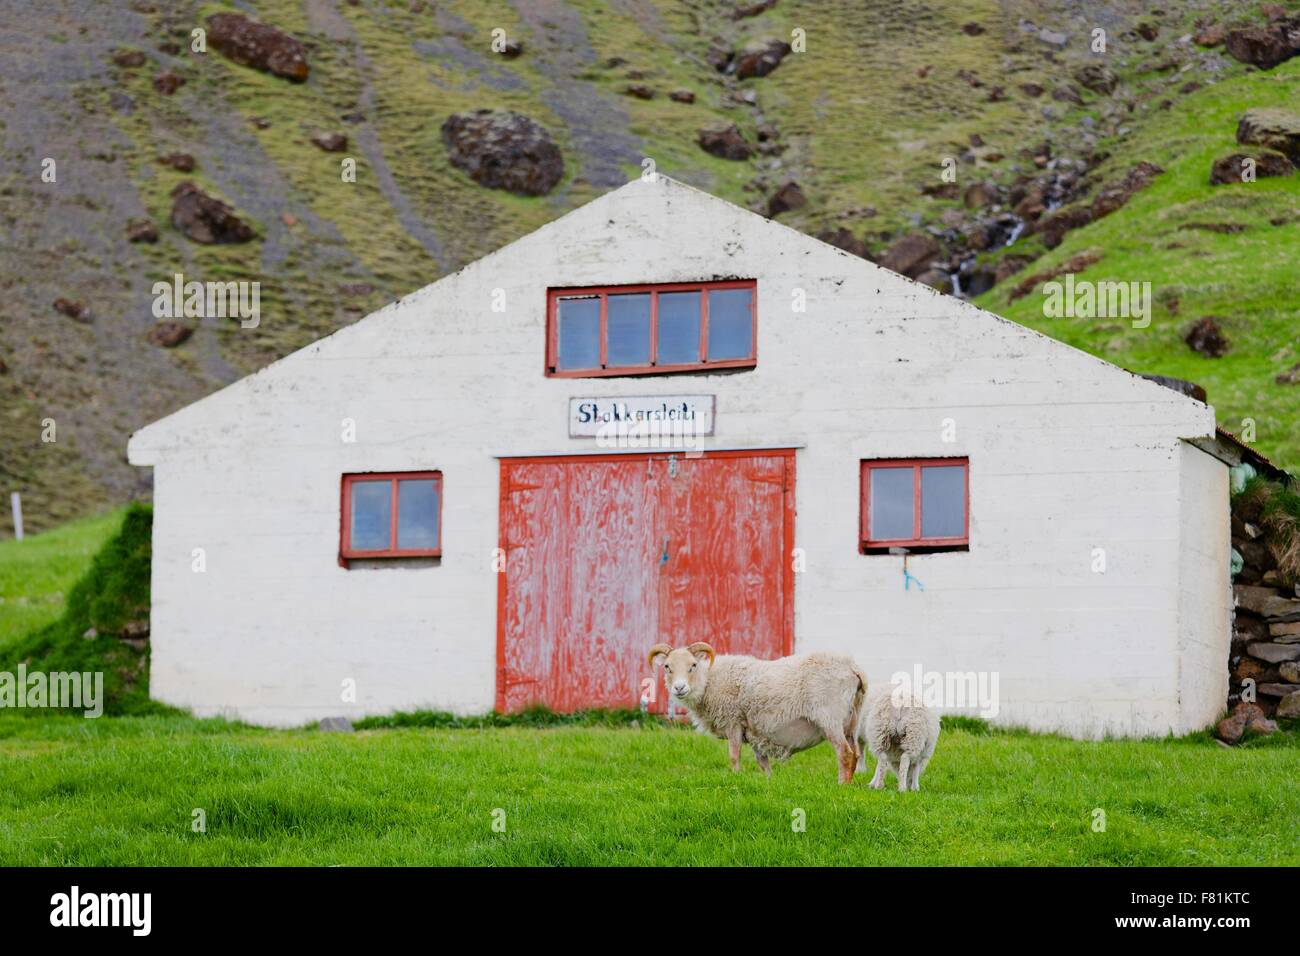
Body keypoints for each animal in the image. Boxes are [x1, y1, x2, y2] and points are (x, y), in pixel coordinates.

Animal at [647, 642, 868, 785]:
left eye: (692, 665)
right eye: (667, 667)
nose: (679, 688)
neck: (709, 681)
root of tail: (853, 668)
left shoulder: (733, 721)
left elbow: (734, 755)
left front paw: (736, 778)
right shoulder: (754, 731)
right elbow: (762, 762)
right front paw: (769, 783)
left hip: (829, 717)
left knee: (845, 753)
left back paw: (841, 785)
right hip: (851, 720)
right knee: (855, 753)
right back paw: (850, 783)